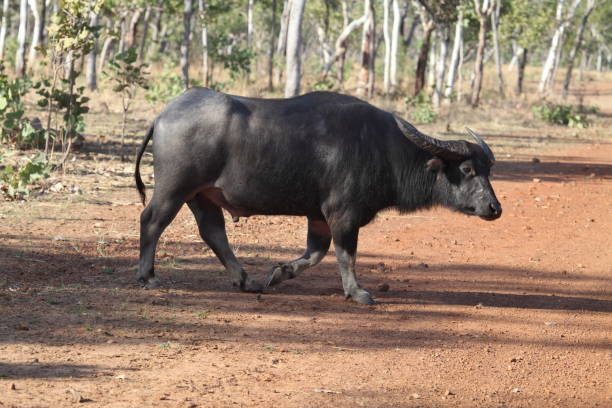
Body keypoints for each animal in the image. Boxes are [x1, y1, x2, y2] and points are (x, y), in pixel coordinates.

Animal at [134, 90, 502, 306]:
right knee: (151, 221)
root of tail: (162, 115)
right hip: (175, 188)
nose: (494, 207)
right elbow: (345, 255)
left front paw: (280, 272)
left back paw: (245, 280)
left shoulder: (319, 217)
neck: (384, 150)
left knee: (213, 231)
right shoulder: (343, 213)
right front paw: (357, 292)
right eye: (467, 169)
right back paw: (148, 276)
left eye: (488, 169)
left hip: (202, 196)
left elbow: (316, 253)